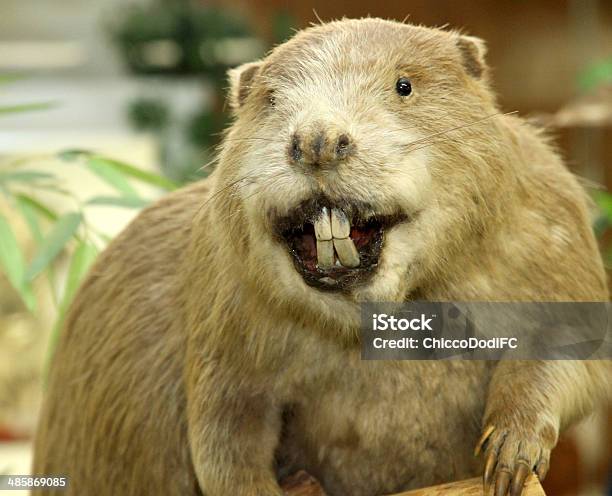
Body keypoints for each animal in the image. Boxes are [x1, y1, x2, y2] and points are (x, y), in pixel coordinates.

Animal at [34, 17, 612, 496]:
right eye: (270, 100)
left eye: (404, 85)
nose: (318, 140)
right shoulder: (222, 303)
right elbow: (224, 435)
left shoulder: (548, 226)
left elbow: (573, 353)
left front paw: (508, 455)